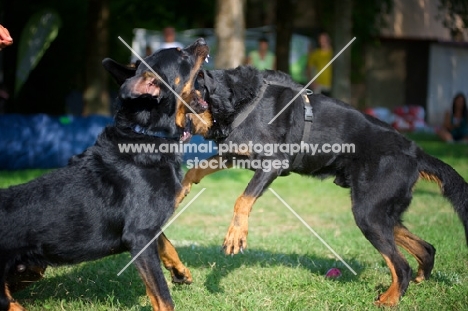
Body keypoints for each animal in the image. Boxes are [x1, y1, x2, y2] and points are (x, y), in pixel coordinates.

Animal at [0, 37, 208, 310]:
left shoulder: (145, 227)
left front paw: (180, 271)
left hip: (31, 269)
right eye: (181, 53)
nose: (202, 40)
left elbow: (165, 242)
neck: (147, 134)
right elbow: (162, 295)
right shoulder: (139, 235)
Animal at [163, 61, 466, 308]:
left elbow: (243, 199)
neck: (240, 103)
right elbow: (196, 169)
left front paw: (236, 235)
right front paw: (179, 193)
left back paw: (389, 299)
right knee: (425, 248)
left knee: (400, 265)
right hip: (380, 213)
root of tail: (416, 152)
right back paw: (418, 280)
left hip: (368, 213)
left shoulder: (272, 163)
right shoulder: (233, 154)